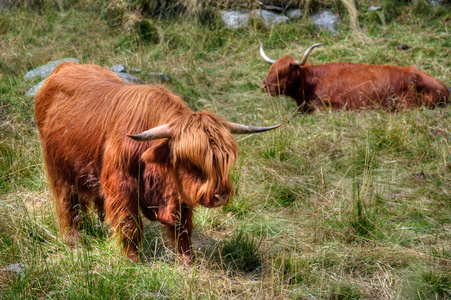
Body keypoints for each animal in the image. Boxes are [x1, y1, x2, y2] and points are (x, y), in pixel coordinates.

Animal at [35, 61, 280, 262]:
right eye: (192, 162)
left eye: (225, 161)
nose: (221, 196)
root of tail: (65, 66)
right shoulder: (121, 183)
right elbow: (129, 223)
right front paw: (131, 260)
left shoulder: (179, 191)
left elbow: (182, 227)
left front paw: (187, 261)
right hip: (58, 169)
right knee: (68, 205)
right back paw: (74, 241)